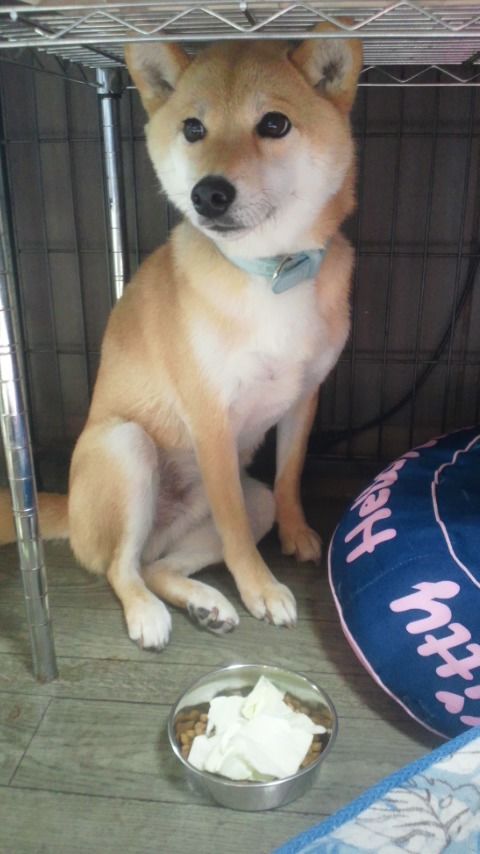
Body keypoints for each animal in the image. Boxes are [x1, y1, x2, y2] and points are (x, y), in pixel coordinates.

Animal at [0, 27, 362, 650]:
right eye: (193, 128)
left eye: (274, 124)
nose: (208, 193)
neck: (270, 274)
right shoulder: (210, 416)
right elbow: (235, 531)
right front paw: (261, 588)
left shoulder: (304, 397)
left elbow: (289, 475)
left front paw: (296, 534)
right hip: (127, 447)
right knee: (122, 569)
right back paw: (149, 614)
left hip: (242, 501)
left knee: (156, 565)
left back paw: (204, 603)